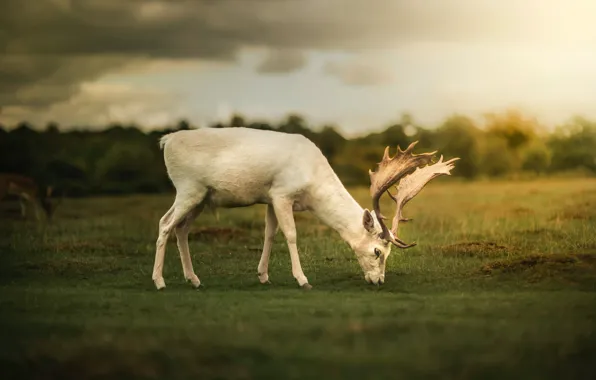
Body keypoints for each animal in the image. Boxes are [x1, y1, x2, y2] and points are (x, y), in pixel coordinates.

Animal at [151, 126, 458, 290]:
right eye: (377, 251)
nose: (379, 281)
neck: (312, 187)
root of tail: (166, 141)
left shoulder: (270, 198)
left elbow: (269, 234)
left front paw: (263, 276)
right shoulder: (282, 193)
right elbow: (290, 235)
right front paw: (302, 279)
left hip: (201, 197)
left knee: (181, 229)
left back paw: (194, 279)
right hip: (188, 188)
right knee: (165, 223)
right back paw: (159, 281)